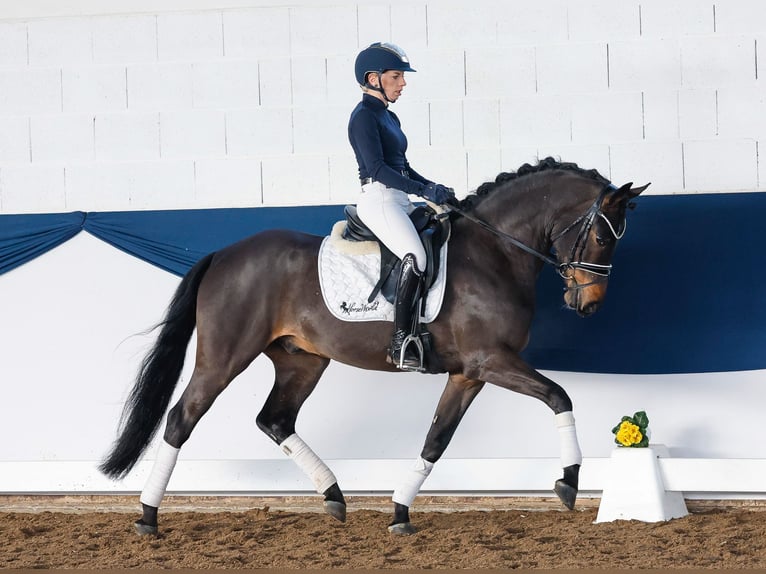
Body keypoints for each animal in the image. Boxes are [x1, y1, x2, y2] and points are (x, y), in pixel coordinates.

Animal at [97, 156, 648, 536]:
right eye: (603, 237)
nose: (588, 305)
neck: (495, 252)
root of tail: (224, 253)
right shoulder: (491, 361)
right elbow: (559, 396)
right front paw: (569, 483)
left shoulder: (469, 372)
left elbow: (436, 439)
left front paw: (400, 512)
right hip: (224, 356)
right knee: (181, 419)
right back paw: (147, 517)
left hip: (302, 360)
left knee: (275, 420)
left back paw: (335, 496)